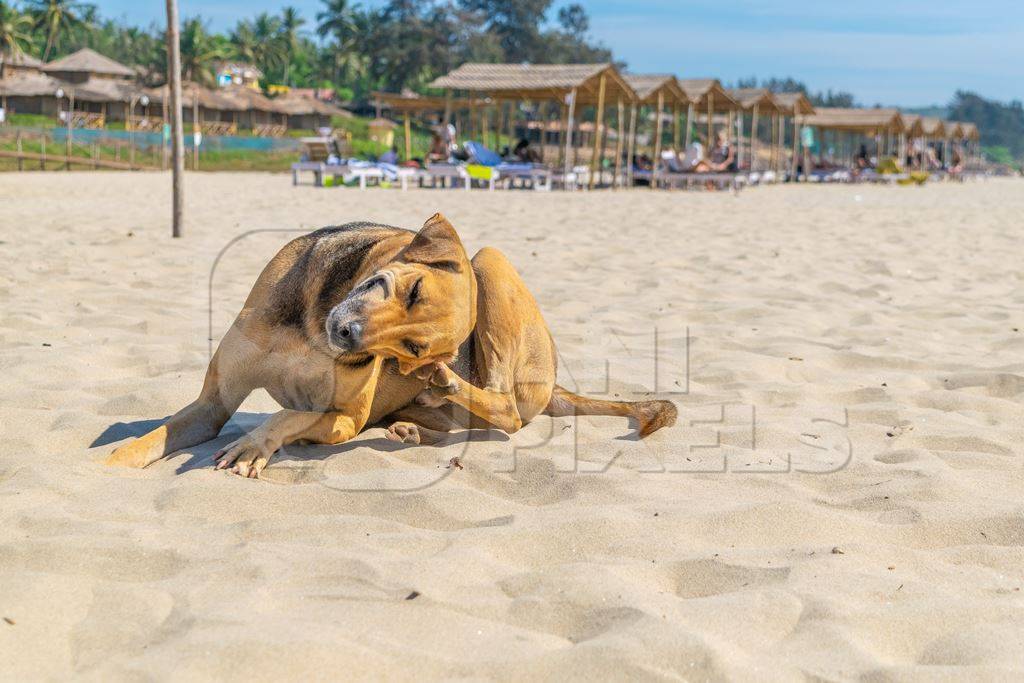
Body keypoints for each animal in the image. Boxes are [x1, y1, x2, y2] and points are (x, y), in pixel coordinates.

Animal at [108, 211, 675, 475]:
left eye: (412, 349)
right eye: (415, 288)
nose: (348, 339)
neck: (310, 327)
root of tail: (554, 383)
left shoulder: (343, 418)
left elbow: (289, 415)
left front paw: (255, 446)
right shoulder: (213, 402)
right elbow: (155, 436)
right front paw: (109, 467)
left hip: (493, 274)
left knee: (509, 412)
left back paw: (446, 387)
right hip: (485, 262)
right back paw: (411, 427)